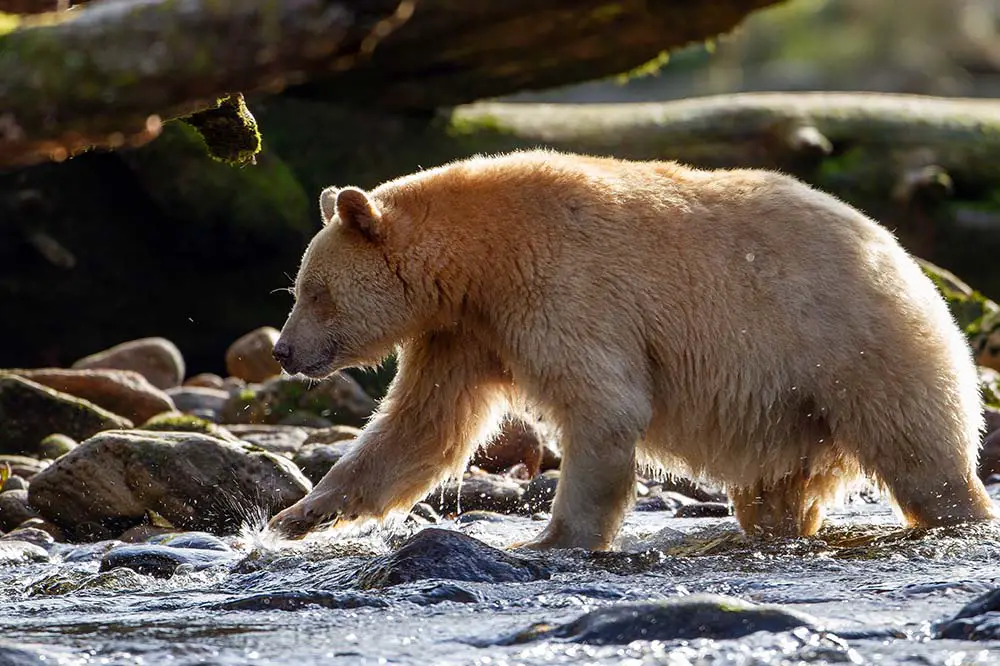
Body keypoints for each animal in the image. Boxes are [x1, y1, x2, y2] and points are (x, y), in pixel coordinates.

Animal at [266, 149, 992, 544]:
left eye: (315, 292)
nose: (283, 351)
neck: (478, 260)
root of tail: (902, 255)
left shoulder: (562, 286)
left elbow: (603, 406)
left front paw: (553, 539)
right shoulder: (464, 331)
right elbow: (421, 429)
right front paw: (298, 515)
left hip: (856, 349)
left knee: (921, 453)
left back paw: (961, 513)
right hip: (791, 411)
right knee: (779, 492)